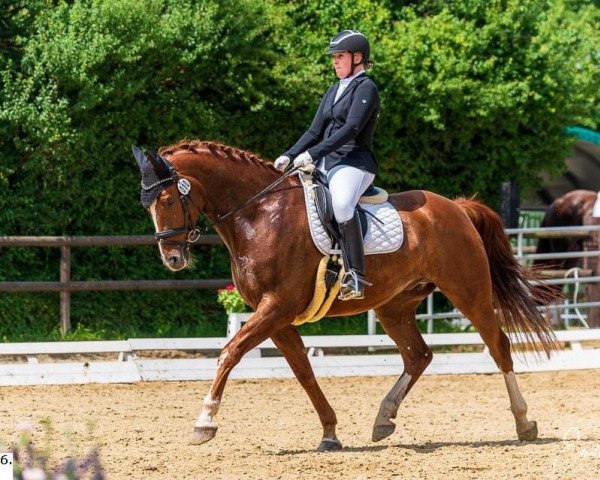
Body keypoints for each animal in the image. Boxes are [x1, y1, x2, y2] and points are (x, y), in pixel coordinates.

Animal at [134, 139, 560, 450]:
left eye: (168, 200)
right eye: (147, 204)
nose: (172, 258)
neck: (259, 215)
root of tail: (456, 207)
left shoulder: (275, 308)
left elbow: (230, 353)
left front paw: (204, 422)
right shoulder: (276, 317)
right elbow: (303, 372)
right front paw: (330, 433)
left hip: (468, 291)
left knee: (499, 346)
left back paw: (524, 422)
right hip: (395, 306)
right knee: (418, 356)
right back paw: (384, 419)